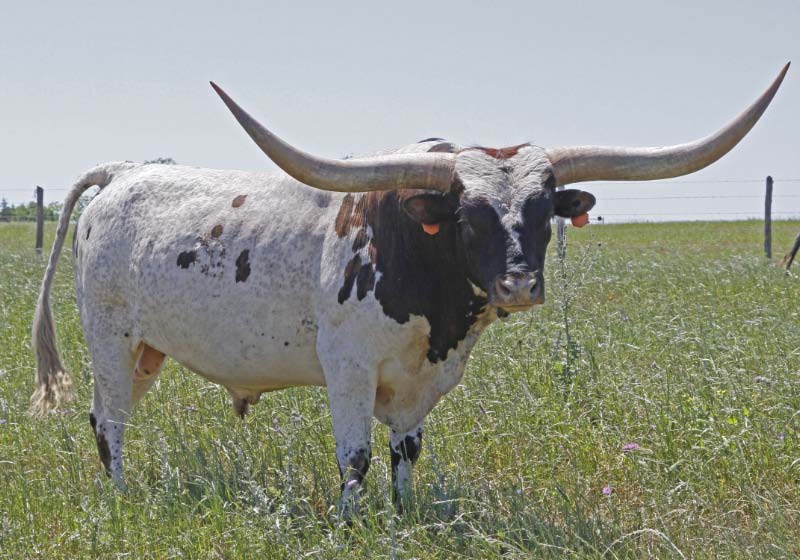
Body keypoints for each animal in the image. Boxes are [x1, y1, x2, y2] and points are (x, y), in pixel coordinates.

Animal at [31, 64, 788, 515]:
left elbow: (404, 453)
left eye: (543, 210)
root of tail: (124, 172)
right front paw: (350, 523)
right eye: (469, 216)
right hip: (110, 340)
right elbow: (356, 456)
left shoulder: (421, 378)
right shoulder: (348, 367)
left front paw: (401, 515)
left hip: (147, 352)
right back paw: (123, 498)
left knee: (116, 415)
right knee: (109, 421)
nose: (519, 283)